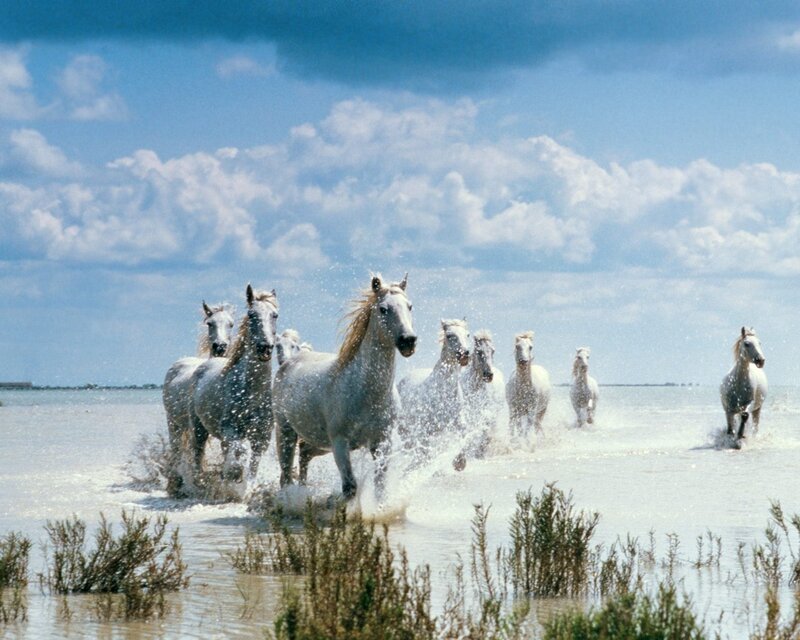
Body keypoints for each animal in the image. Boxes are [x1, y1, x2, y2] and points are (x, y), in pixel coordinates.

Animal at [163, 301, 235, 496]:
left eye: (231, 324)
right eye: (210, 323)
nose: (220, 347)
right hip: (173, 423)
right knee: (176, 450)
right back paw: (175, 483)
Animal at [189, 284, 279, 485]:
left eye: (275, 315)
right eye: (252, 314)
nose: (265, 348)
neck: (252, 393)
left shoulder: (261, 437)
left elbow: (253, 466)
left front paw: (247, 486)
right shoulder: (229, 430)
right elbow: (239, 452)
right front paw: (233, 475)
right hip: (199, 427)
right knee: (197, 453)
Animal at [273, 274, 416, 500]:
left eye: (409, 306)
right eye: (383, 309)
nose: (408, 341)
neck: (365, 390)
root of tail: (288, 362)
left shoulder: (382, 441)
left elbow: (380, 486)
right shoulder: (340, 442)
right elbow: (350, 487)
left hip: (318, 442)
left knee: (304, 456)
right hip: (285, 432)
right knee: (286, 475)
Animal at [397, 318, 471, 469]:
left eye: (467, 335)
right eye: (450, 336)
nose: (465, 354)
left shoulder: (457, 422)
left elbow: (465, 432)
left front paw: (459, 463)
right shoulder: (426, 432)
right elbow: (425, 454)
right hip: (406, 431)